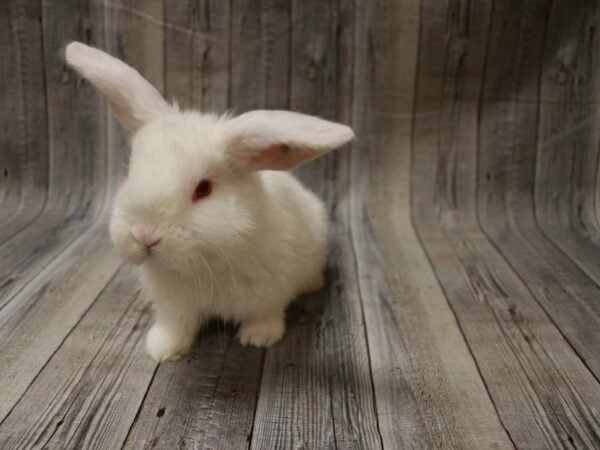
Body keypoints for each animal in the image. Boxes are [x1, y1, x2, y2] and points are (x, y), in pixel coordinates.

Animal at [66, 42, 354, 362]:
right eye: (130, 172)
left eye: (203, 189)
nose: (145, 236)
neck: (206, 262)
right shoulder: (174, 304)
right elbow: (175, 325)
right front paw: (162, 349)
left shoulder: (269, 293)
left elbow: (265, 315)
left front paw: (259, 338)